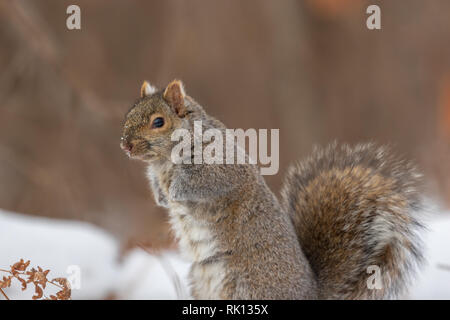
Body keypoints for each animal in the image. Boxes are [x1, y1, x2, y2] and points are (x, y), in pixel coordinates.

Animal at [120, 79, 426, 298]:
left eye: (158, 122)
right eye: (130, 113)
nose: (125, 145)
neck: (163, 162)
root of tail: (312, 294)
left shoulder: (221, 167)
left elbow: (200, 183)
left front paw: (174, 191)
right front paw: (161, 196)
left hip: (250, 289)